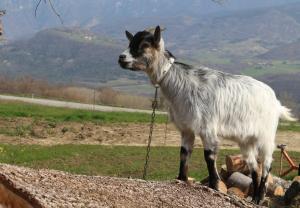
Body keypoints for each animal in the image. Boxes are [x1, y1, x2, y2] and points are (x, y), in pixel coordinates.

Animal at [118, 25, 296, 203]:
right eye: (130, 42)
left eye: (145, 45)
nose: (121, 58)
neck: (181, 83)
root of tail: (276, 102)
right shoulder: (186, 128)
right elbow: (184, 154)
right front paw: (181, 179)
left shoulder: (207, 128)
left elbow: (209, 156)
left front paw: (214, 186)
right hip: (246, 140)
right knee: (253, 166)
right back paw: (253, 198)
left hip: (266, 136)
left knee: (266, 163)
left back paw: (260, 197)